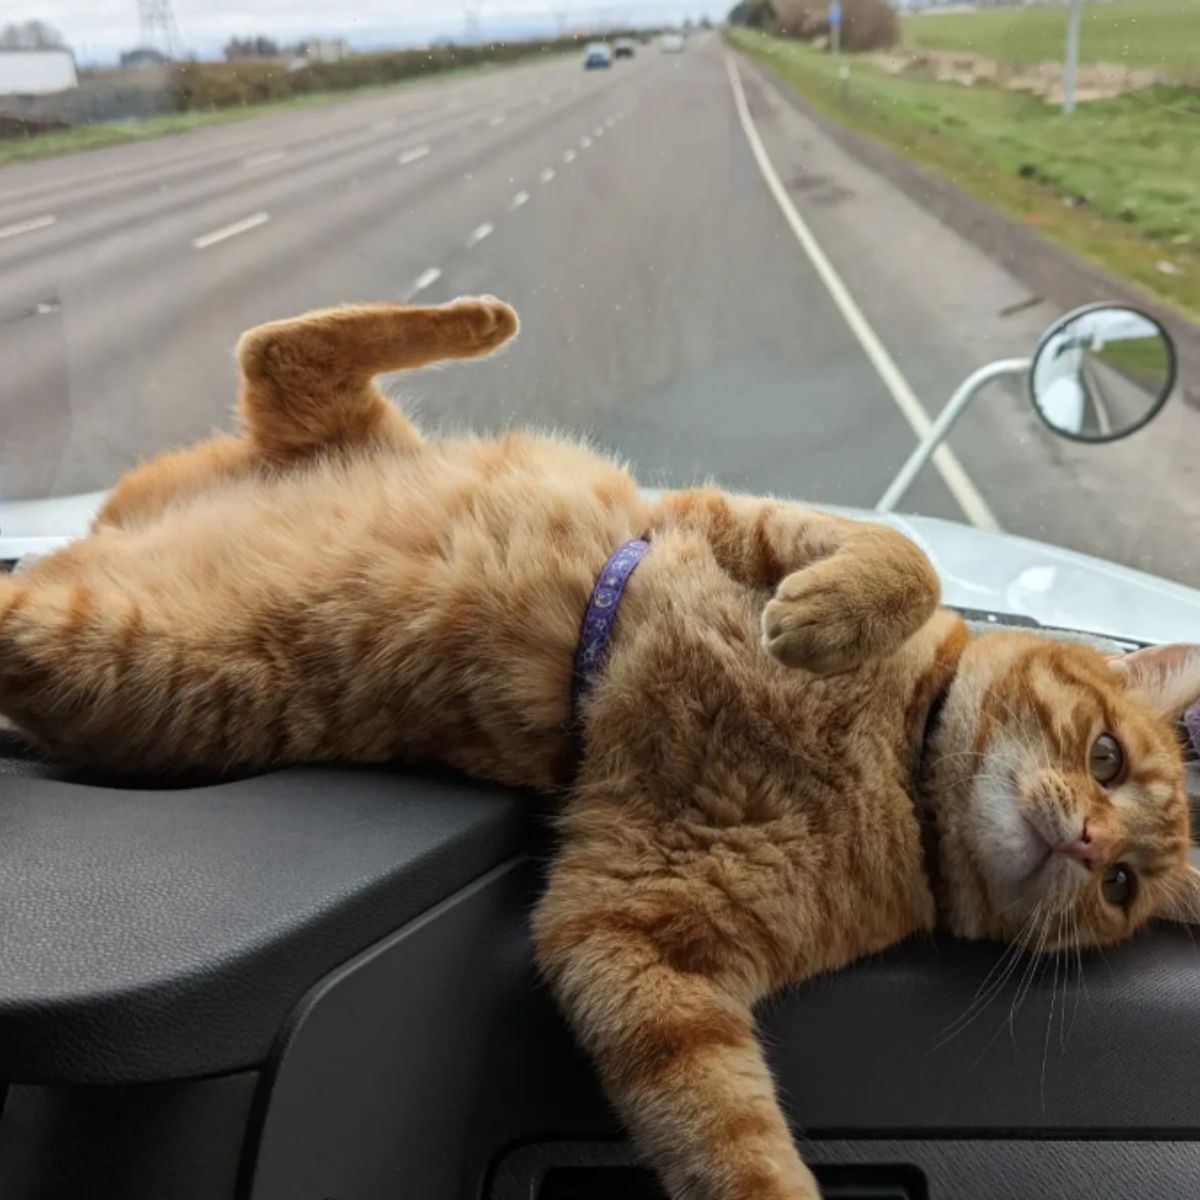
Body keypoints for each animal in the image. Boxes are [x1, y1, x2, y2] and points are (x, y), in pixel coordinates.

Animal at [2, 292, 1200, 1200]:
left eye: (1123, 888)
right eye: (1104, 758)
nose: (1092, 844)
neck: (892, 763)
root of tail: (98, 529)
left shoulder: (634, 942)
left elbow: (733, 1142)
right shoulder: (729, 520)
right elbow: (905, 556)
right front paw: (825, 616)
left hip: (115, 655)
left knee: (263, 365)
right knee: (285, 343)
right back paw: (475, 317)